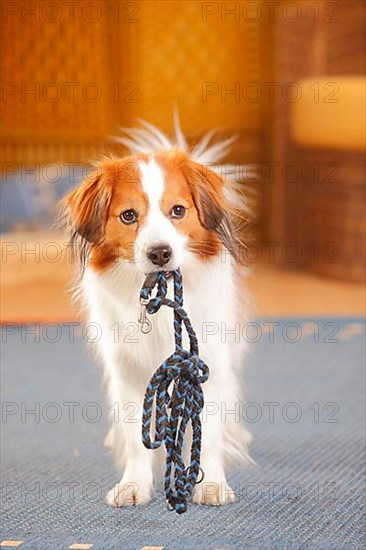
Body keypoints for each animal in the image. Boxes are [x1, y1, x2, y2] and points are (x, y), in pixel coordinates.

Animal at [62, 121, 252, 508]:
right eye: (128, 216)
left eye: (177, 211)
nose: (160, 253)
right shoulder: (127, 368)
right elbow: (136, 434)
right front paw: (134, 484)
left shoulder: (206, 363)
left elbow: (208, 429)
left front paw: (211, 483)